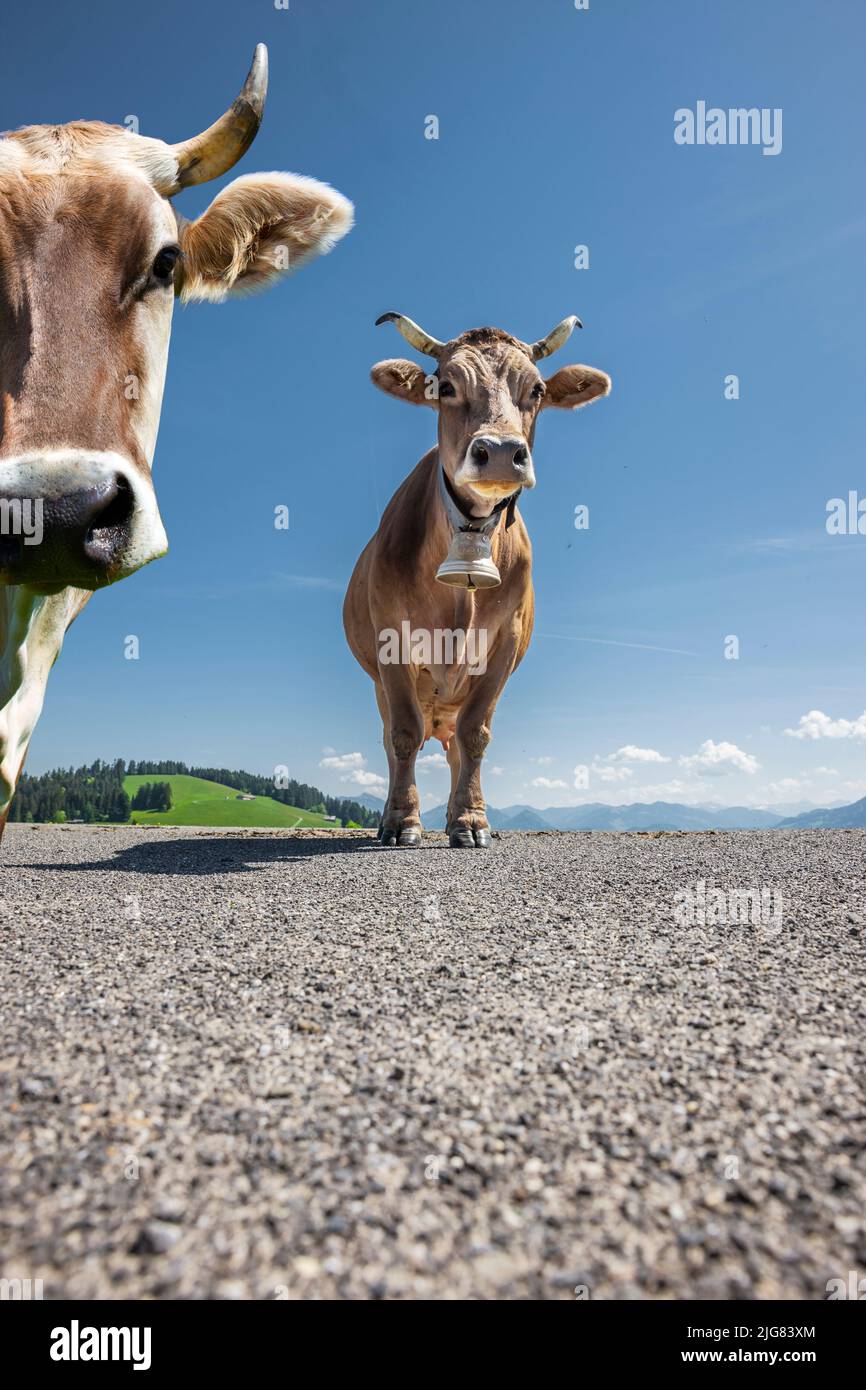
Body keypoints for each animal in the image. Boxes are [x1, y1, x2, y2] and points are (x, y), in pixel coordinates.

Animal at [343, 313, 610, 848]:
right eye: (445, 386)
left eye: (537, 389)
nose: (503, 452)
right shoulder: (390, 642)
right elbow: (403, 734)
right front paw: (402, 822)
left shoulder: (504, 643)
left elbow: (475, 735)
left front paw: (470, 821)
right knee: (391, 740)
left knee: (453, 747)